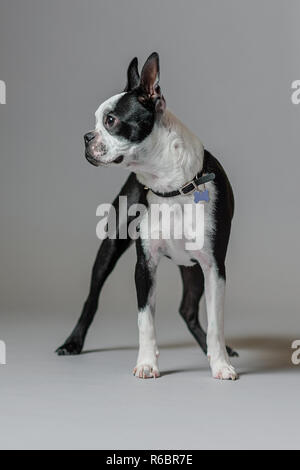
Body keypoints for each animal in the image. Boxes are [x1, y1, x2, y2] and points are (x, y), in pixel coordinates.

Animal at [56, 53, 239, 380]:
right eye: (96, 121)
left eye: (111, 120)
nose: (86, 136)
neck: (171, 186)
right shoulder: (145, 265)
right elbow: (145, 320)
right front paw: (146, 363)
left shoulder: (214, 267)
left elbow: (216, 323)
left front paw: (220, 364)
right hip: (110, 248)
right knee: (92, 298)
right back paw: (73, 343)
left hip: (193, 269)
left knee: (188, 310)